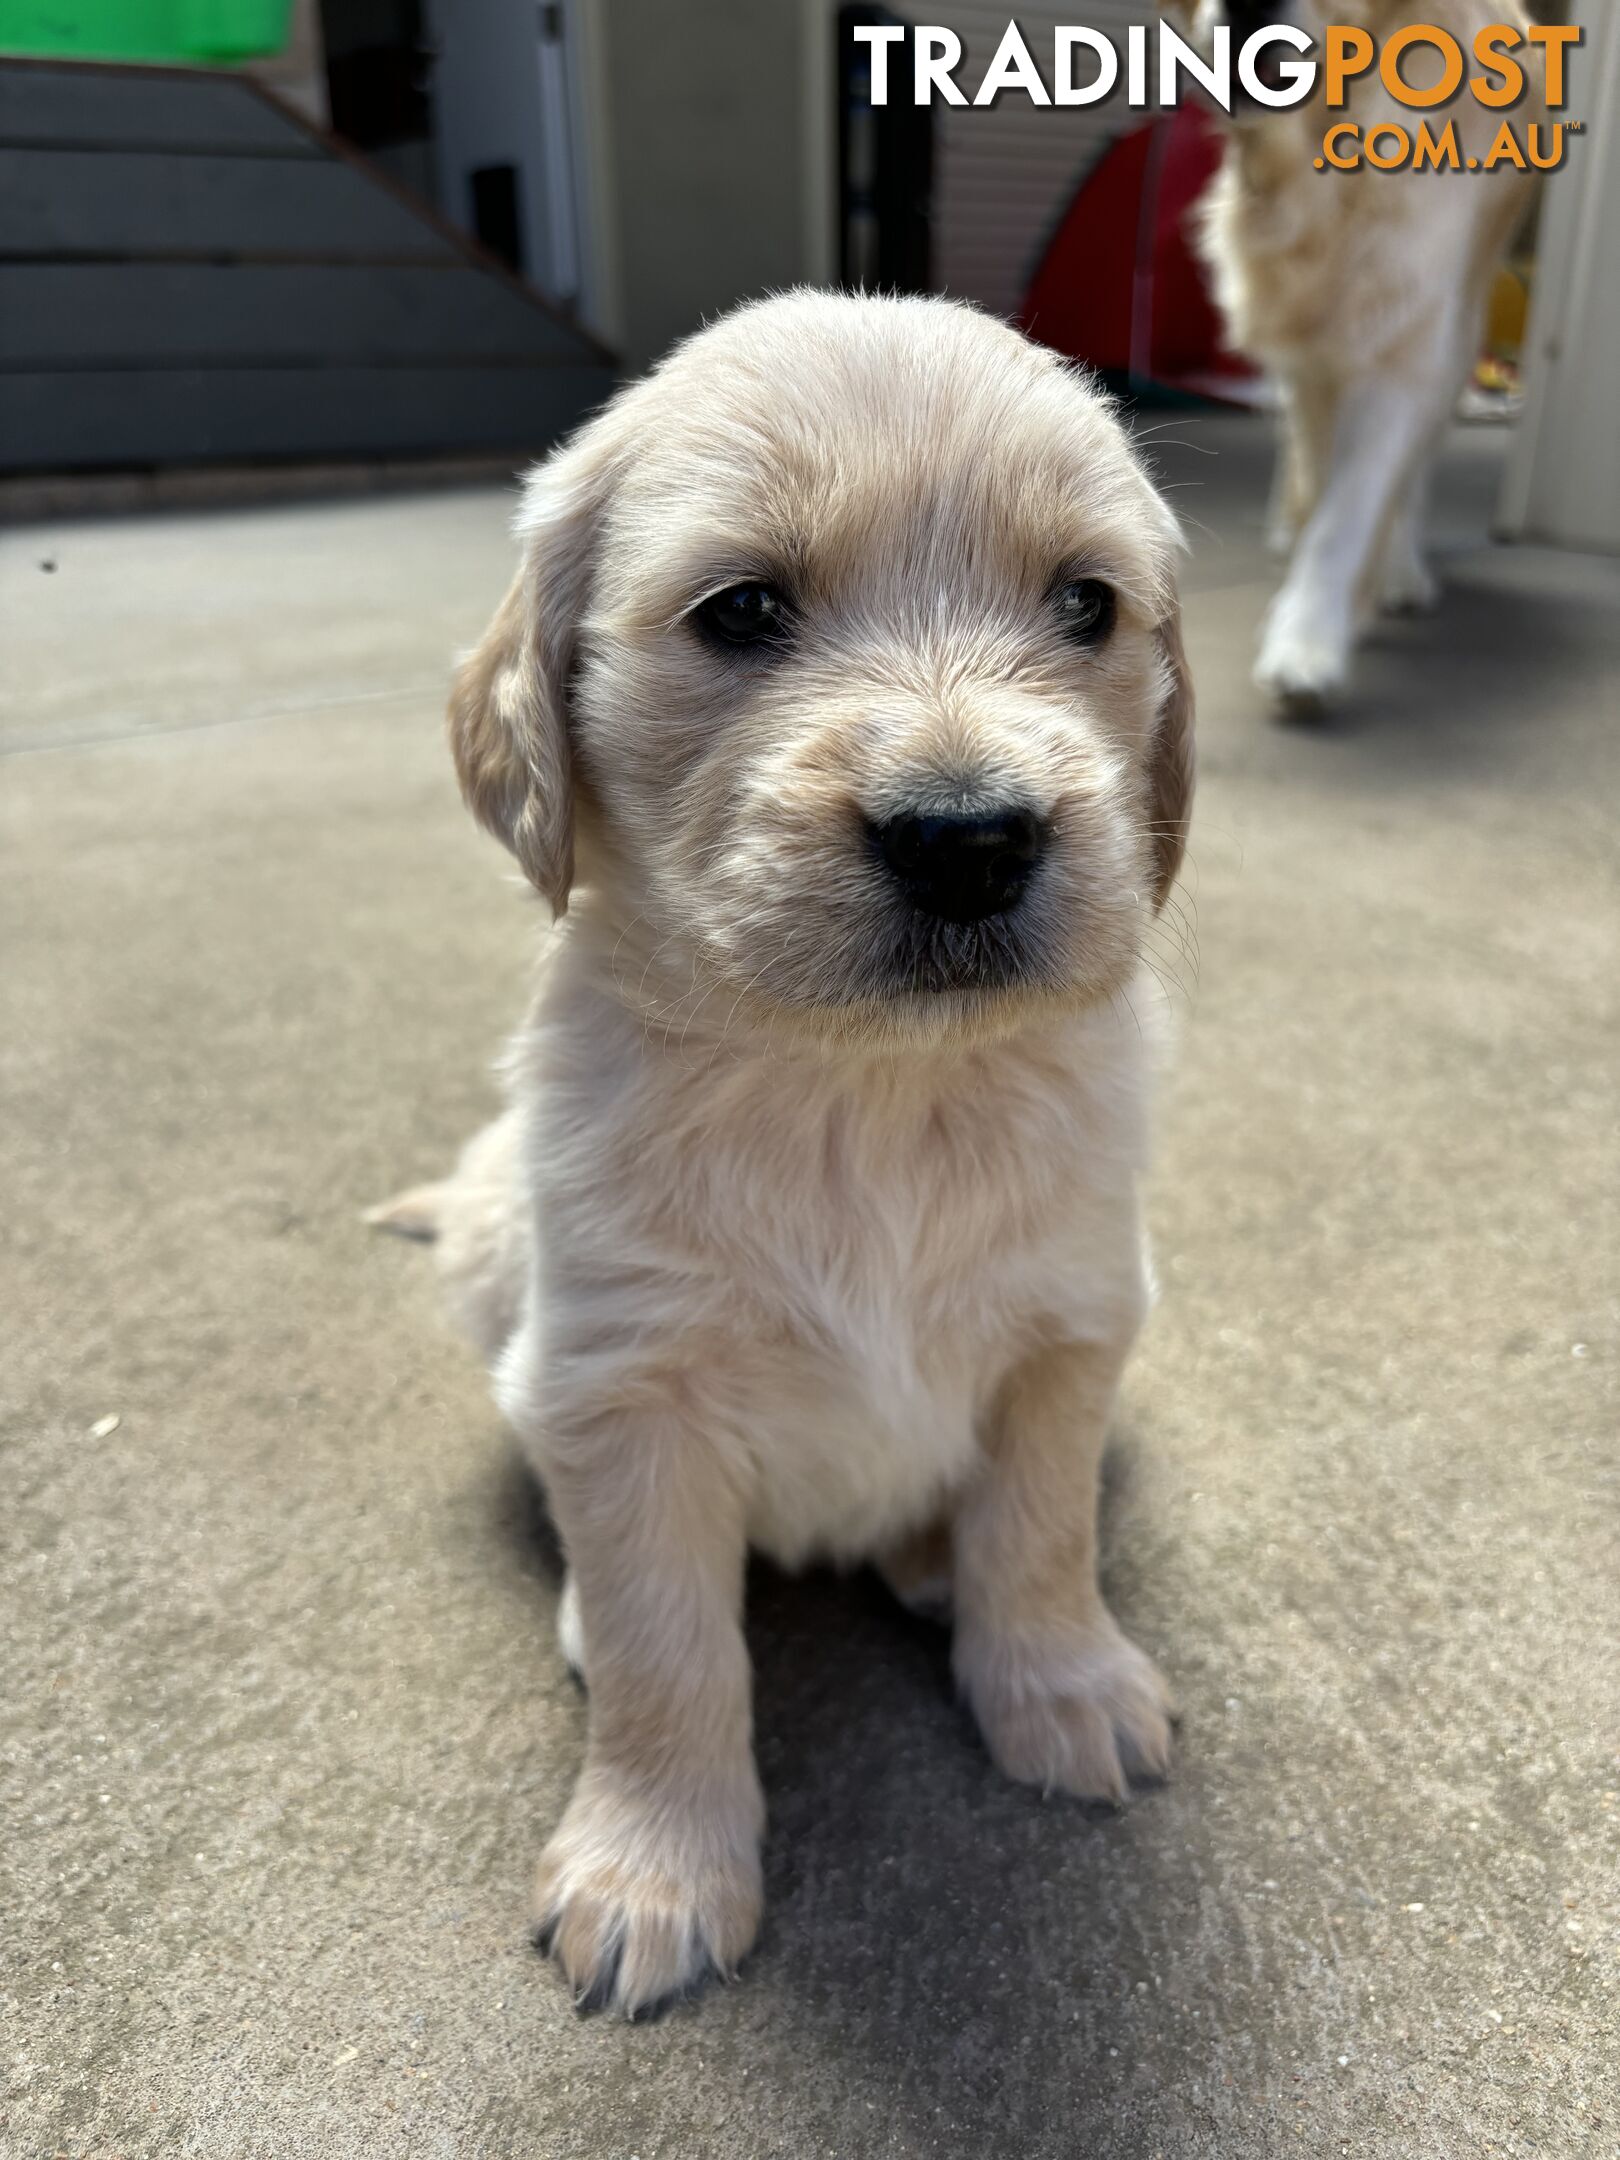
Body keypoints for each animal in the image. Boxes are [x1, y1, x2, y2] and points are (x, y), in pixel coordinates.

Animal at [380, 295, 1192, 2013]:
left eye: (1087, 604)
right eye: (743, 611)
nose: (969, 838)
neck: (862, 1096)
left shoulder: (1075, 1325)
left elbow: (1044, 1527)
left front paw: (1060, 1680)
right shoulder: (618, 1382)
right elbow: (668, 1651)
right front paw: (655, 1864)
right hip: (497, 1270)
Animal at [1183, 0, 1537, 708]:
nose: (1248, 6)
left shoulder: (1403, 347)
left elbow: (1349, 510)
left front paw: (1308, 640)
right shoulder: (1308, 353)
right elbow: (1322, 479)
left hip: (1458, 329)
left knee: (1414, 466)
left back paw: (1400, 571)